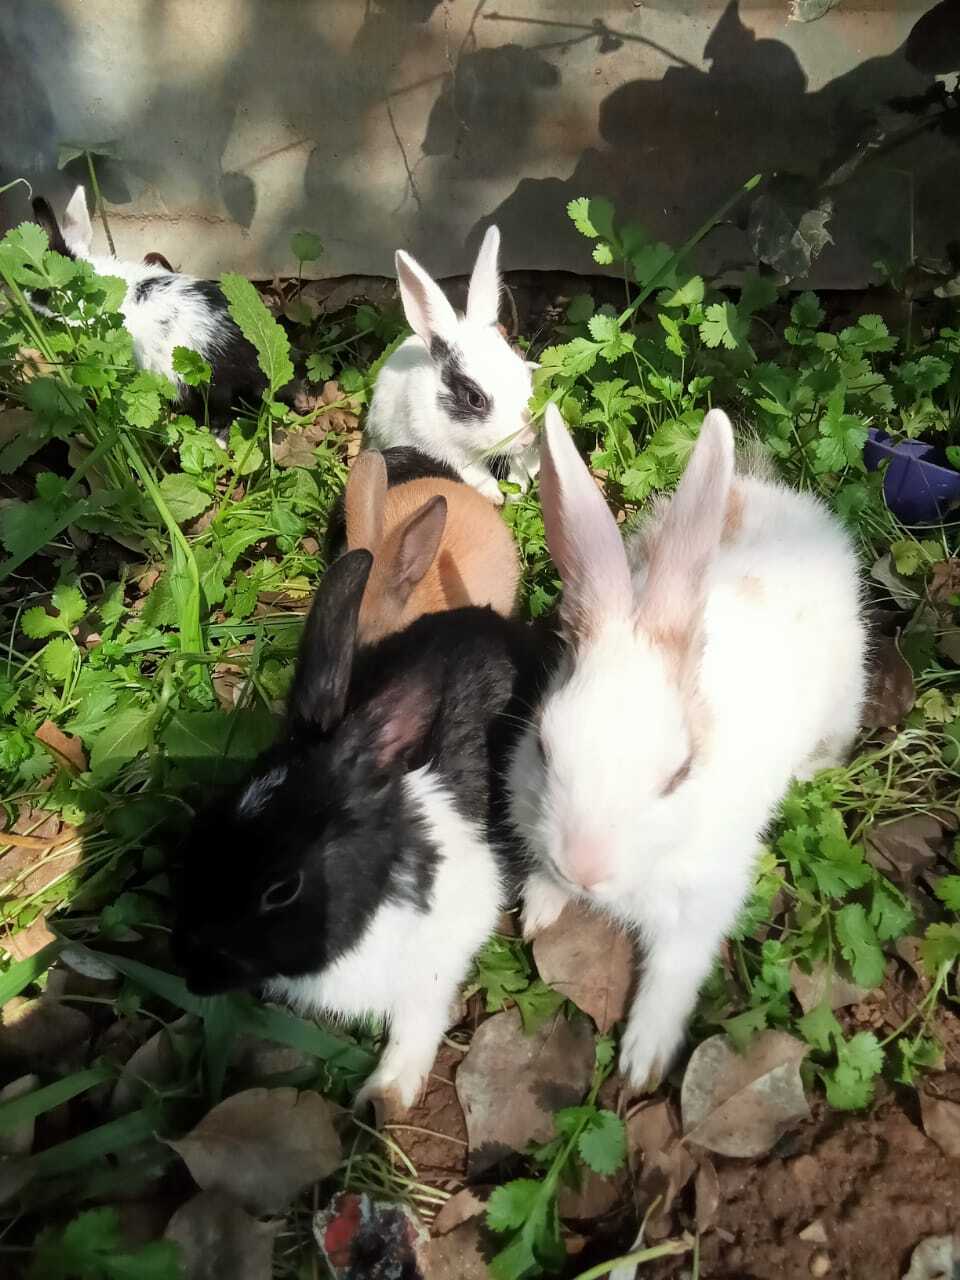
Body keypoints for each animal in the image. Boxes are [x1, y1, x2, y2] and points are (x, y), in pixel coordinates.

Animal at [172, 547, 548, 1111]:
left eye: (282, 890)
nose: (193, 977)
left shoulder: (440, 958)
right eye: (202, 826)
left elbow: (419, 1020)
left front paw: (384, 1096)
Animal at [364, 225, 540, 507]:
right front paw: (496, 496)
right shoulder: (444, 451)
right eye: (474, 399)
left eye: (524, 375)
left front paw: (519, 488)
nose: (528, 438)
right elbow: (476, 475)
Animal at [509, 404, 867, 1092]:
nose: (584, 867)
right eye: (543, 744)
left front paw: (642, 1060)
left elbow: (676, 971)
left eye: (679, 773)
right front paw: (540, 907)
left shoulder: (704, 903)